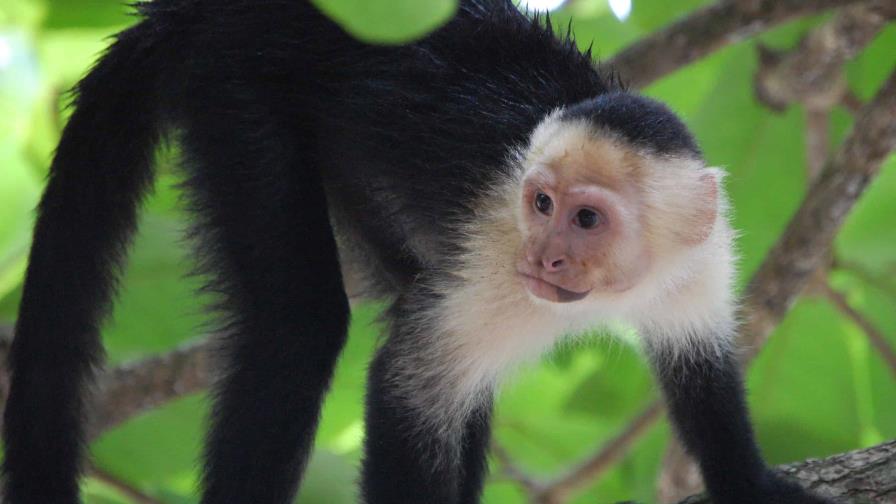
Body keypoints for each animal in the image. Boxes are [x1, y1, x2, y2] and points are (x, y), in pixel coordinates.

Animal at [1, 1, 834, 503]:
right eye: (540, 205)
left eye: (588, 219)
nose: (546, 259)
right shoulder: (498, 257)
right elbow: (409, 385)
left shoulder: (700, 261)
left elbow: (702, 372)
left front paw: (749, 483)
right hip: (237, 90)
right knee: (300, 328)